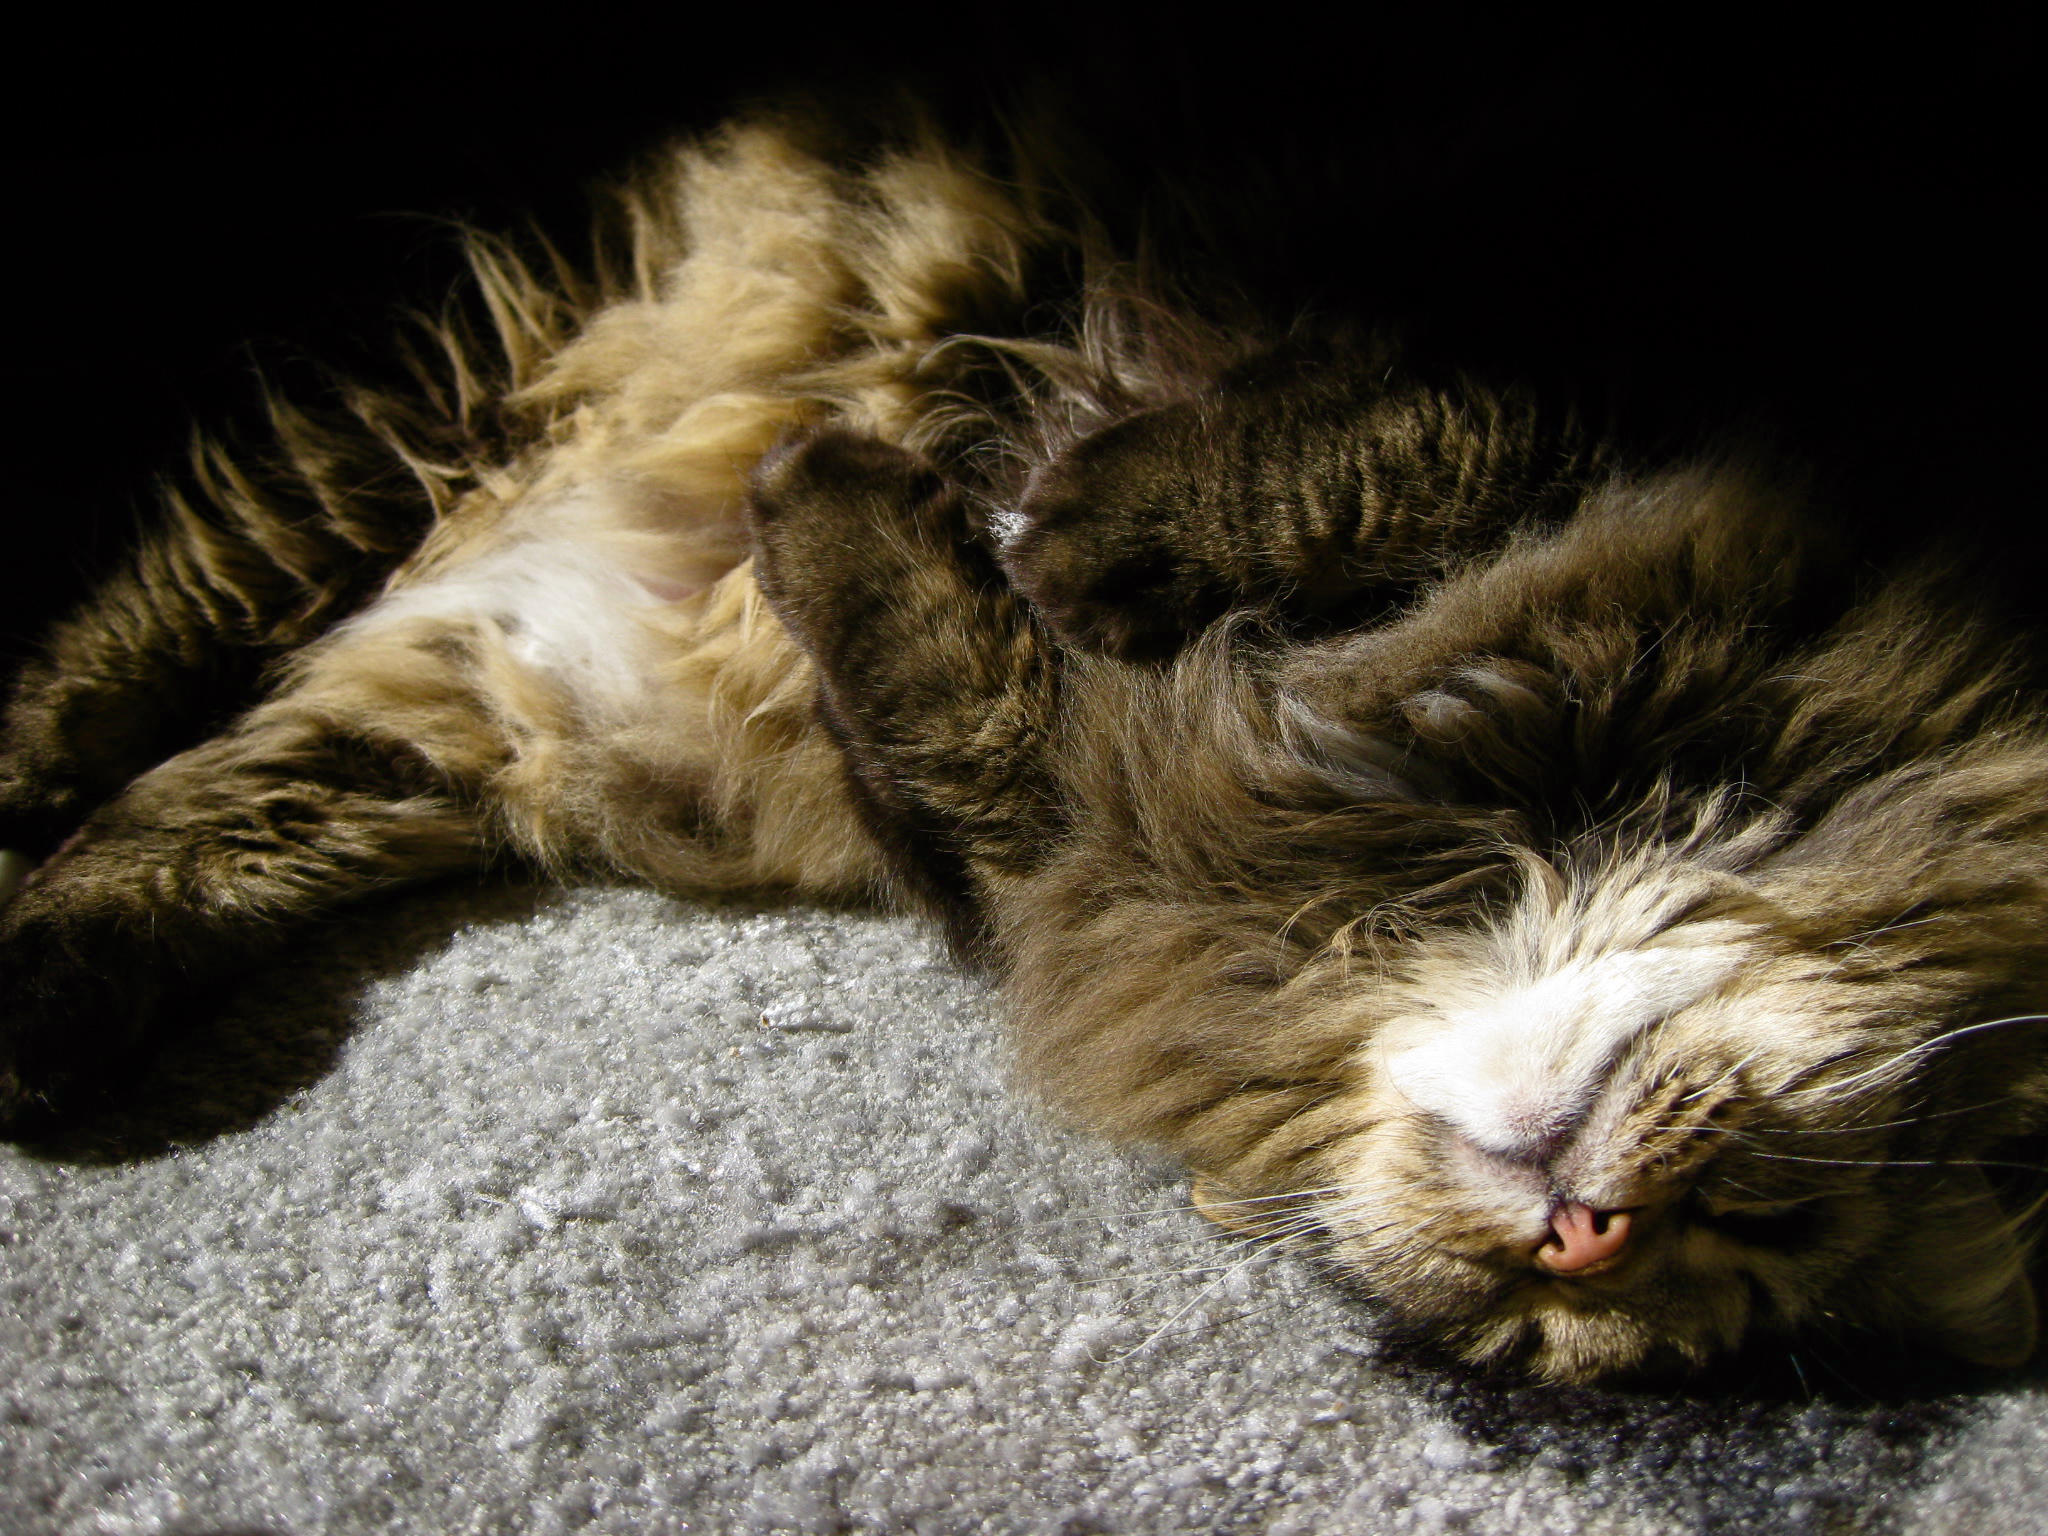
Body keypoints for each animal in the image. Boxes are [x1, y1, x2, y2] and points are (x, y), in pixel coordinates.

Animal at [4, 120, 2048, 1384]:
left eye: (1730, 1260)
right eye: (1765, 1210)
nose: (1584, 1244)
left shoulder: (1013, 841)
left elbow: (944, 659)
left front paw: (875, 508)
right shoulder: (1578, 347)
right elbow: (1386, 432)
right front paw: (1060, 528)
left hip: (442, 723)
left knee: (204, 809)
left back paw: (36, 1003)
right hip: (391, 419)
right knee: (141, 627)